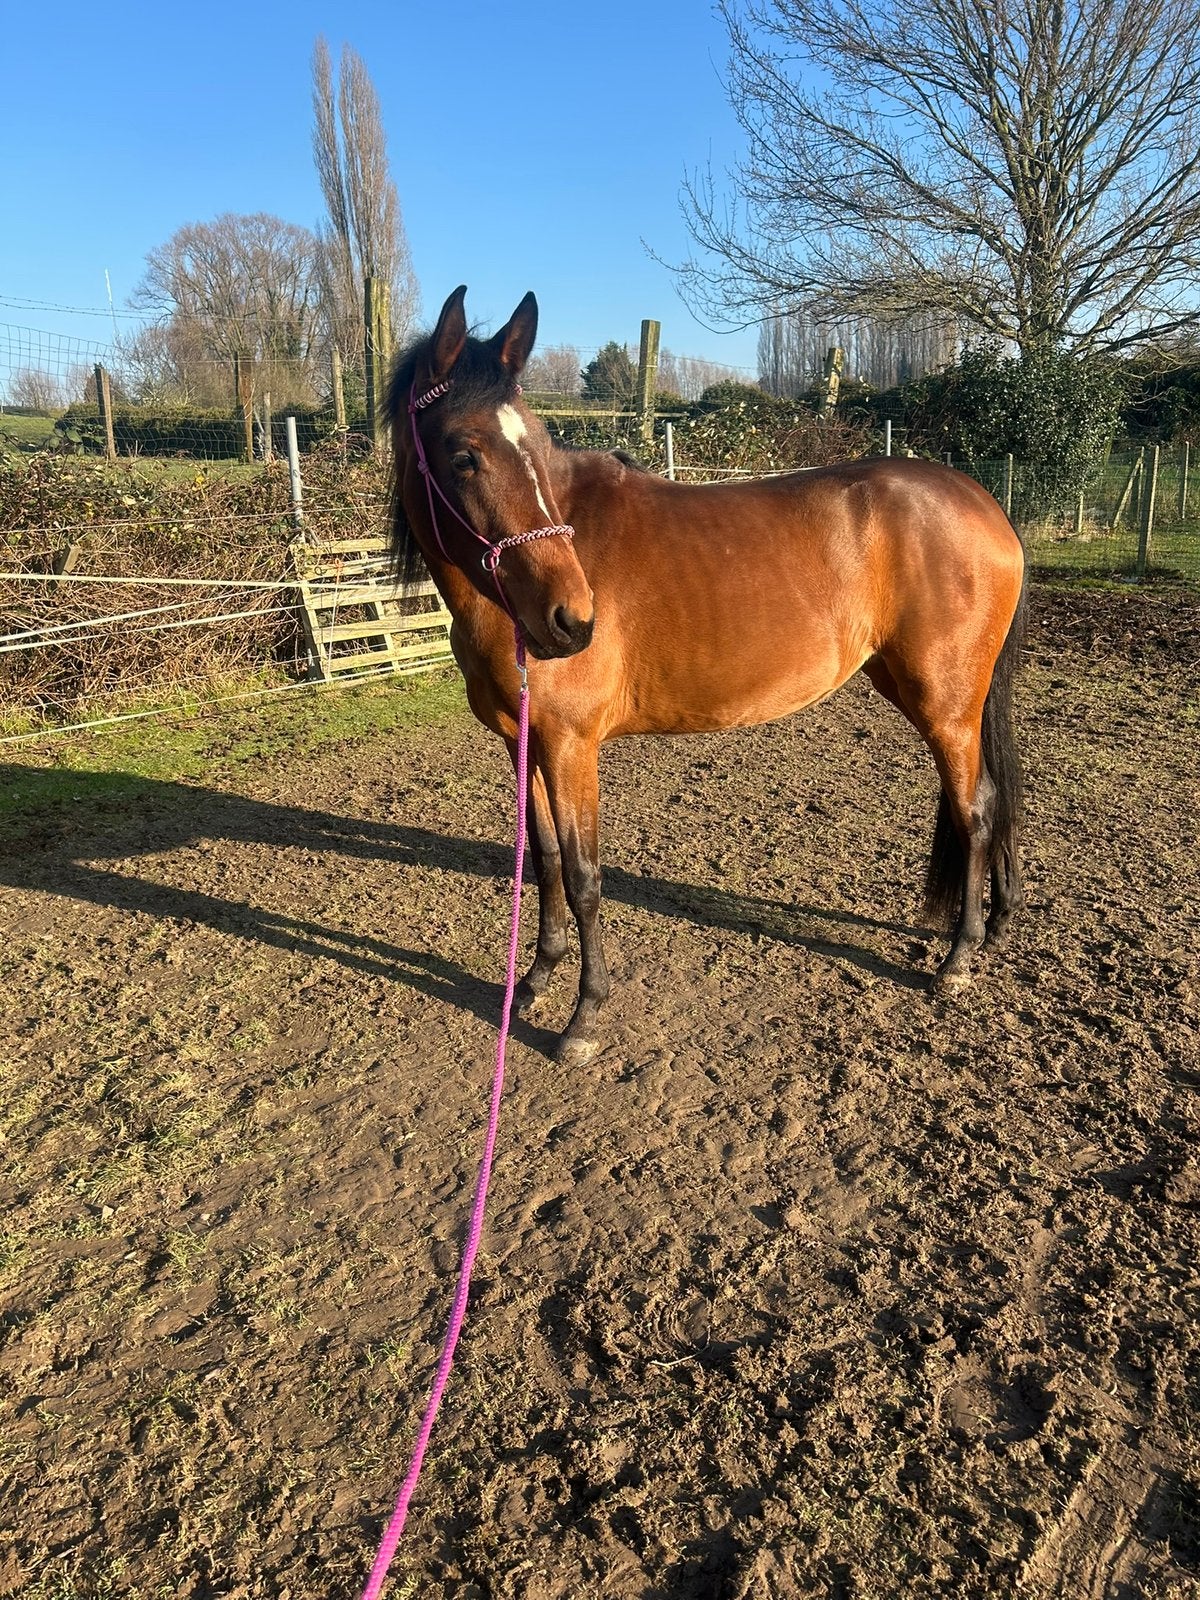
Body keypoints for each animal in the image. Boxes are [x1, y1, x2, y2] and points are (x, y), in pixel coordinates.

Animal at [388, 286, 1026, 1067]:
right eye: (463, 456)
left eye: (533, 448)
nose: (573, 621)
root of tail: (985, 504)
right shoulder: (524, 741)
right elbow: (543, 860)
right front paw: (537, 977)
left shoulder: (571, 747)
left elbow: (584, 875)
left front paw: (584, 1017)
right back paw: (993, 930)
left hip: (946, 705)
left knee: (977, 810)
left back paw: (959, 959)